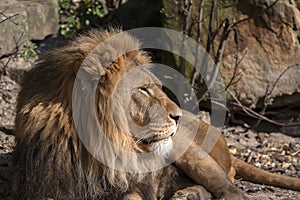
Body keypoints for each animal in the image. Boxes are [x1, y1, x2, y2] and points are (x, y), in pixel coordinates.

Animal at [13, 28, 300, 200]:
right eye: (143, 89)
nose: (178, 116)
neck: (97, 148)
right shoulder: (47, 187)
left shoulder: (134, 186)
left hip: (189, 151)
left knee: (231, 190)